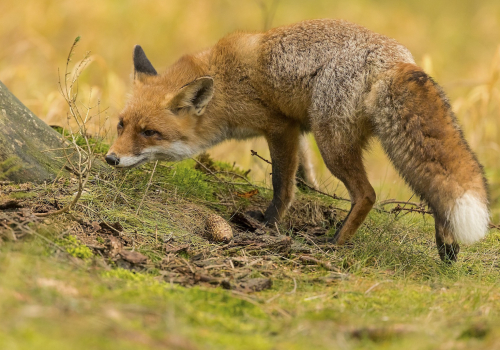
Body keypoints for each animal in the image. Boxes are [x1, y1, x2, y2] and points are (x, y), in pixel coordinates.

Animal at [106, 18, 488, 260]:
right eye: (121, 125)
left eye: (150, 132)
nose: (110, 158)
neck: (226, 82)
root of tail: (394, 60)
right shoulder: (297, 129)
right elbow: (304, 174)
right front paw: (311, 194)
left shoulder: (280, 128)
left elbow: (282, 185)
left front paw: (268, 224)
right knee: (435, 194)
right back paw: (447, 246)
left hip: (331, 142)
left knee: (367, 194)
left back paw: (335, 243)